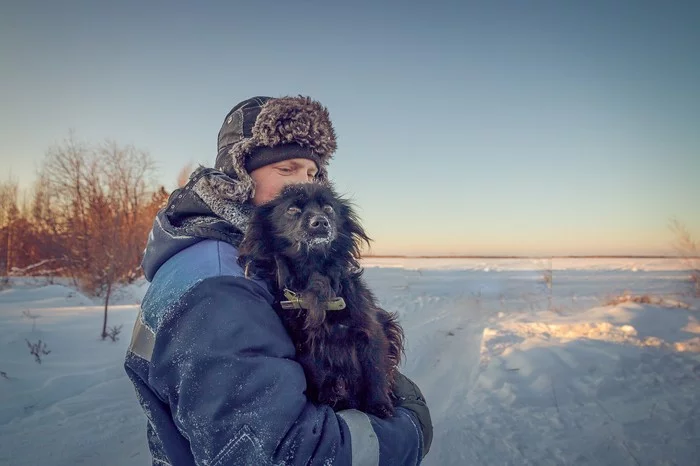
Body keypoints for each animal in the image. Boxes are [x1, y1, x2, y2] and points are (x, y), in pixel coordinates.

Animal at [239, 183, 404, 418]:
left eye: (328, 208)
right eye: (292, 209)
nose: (320, 222)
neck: (316, 279)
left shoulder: (371, 331)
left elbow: (376, 371)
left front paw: (379, 407)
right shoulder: (308, 350)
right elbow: (320, 375)